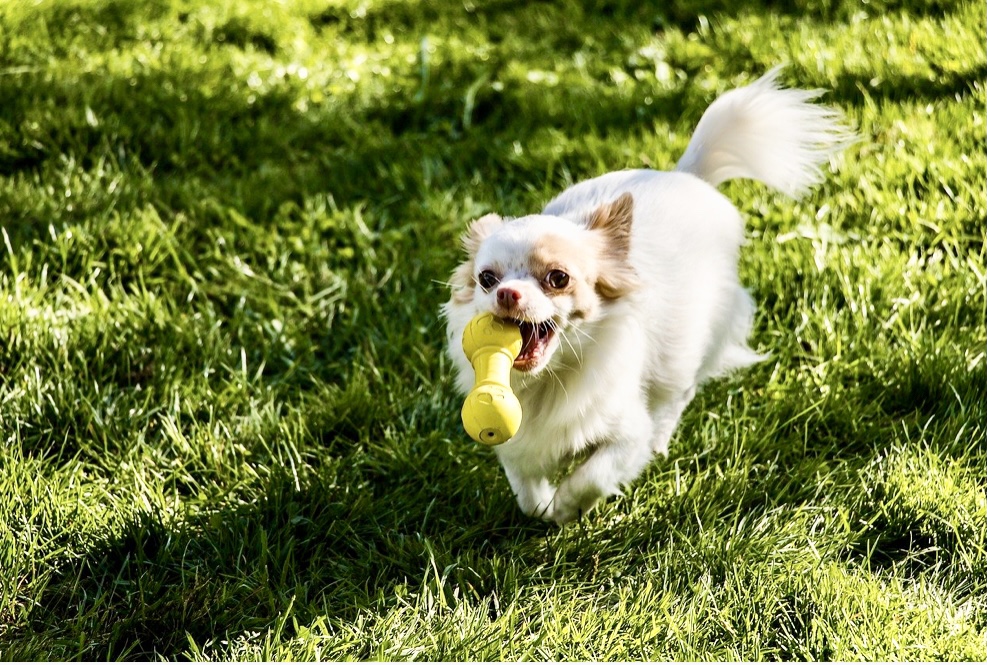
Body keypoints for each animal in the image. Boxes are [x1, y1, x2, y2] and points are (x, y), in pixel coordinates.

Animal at [444, 68, 852, 524]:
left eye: (558, 278)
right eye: (486, 279)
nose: (508, 293)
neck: (549, 380)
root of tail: (687, 174)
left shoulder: (625, 434)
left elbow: (594, 474)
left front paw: (568, 507)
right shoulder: (517, 443)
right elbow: (528, 492)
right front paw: (546, 507)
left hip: (687, 350)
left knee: (677, 396)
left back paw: (660, 440)